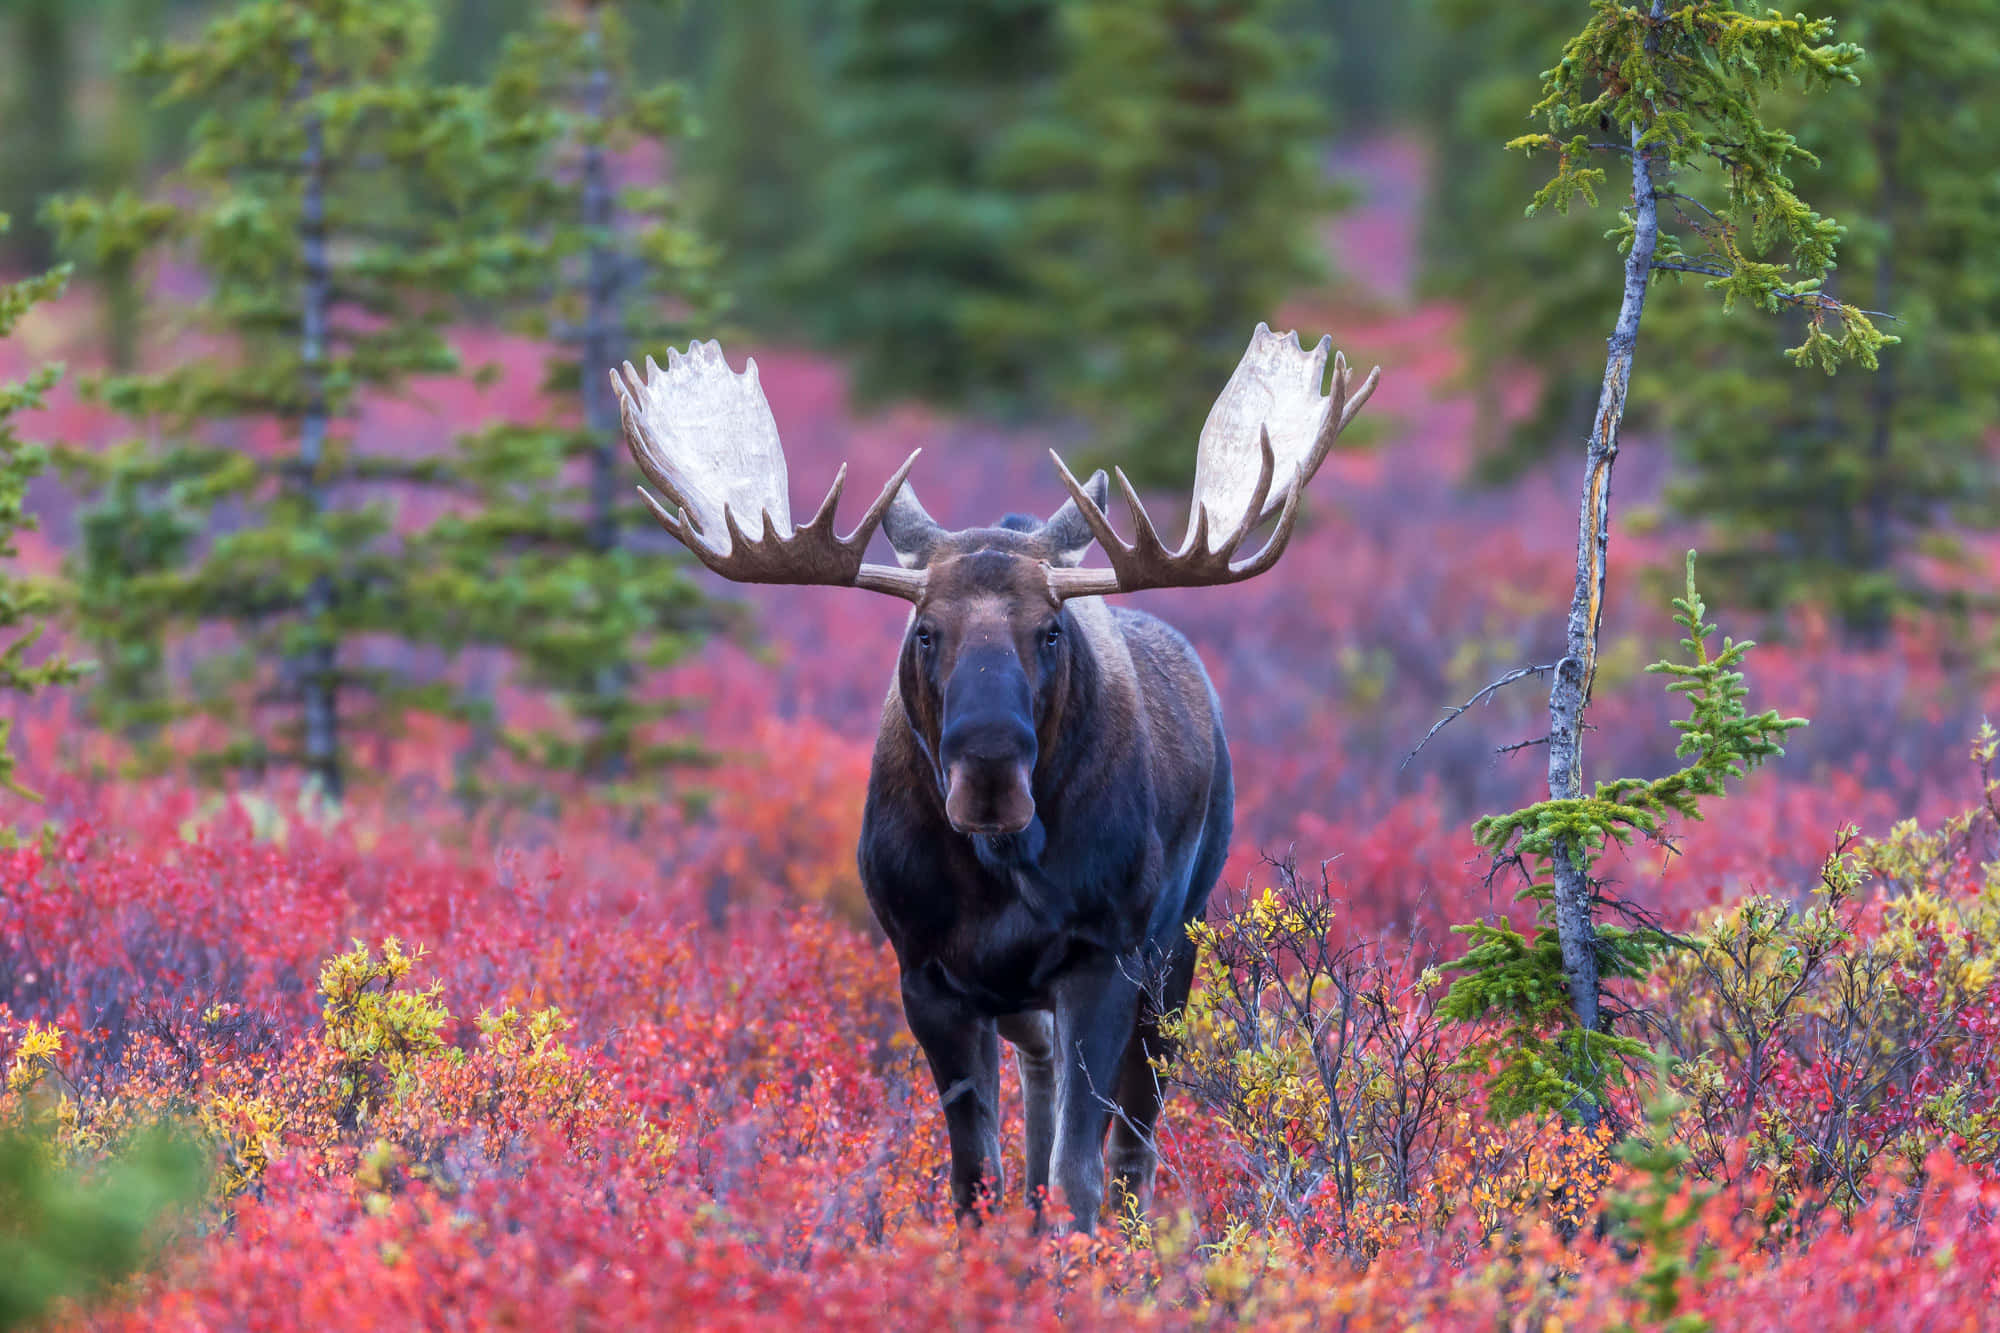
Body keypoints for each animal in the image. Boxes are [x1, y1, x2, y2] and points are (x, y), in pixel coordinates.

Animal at [612, 325, 1379, 1233]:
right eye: (925, 630)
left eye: (1049, 629)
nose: (988, 772)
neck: (999, 875)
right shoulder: (927, 975)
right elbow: (976, 1174)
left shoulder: (1103, 955)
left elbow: (1082, 1166)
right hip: (1028, 997)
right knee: (1042, 1092)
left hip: (1173, 953)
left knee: (1133, 1143)